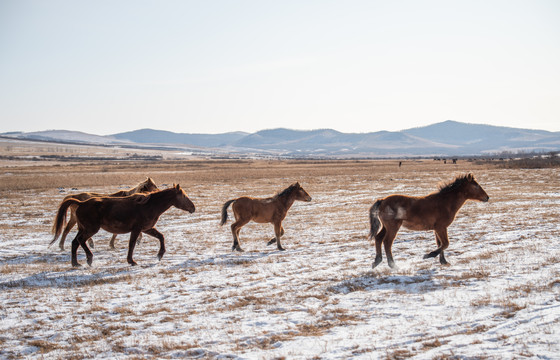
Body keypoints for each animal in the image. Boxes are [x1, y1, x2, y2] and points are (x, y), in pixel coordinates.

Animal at [50, 186, 195, 268]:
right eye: (183, 195)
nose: (193, 208)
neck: (149, 205)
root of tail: (80, 203)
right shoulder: (137, 229)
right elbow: (132, 244)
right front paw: (131, 261)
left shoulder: (147, 229)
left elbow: (161, 237)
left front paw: (160, 255)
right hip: (90, 229)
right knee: (80, 241)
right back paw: (89, 258)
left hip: (83, 229)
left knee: (75, 242)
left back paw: (75, 263)